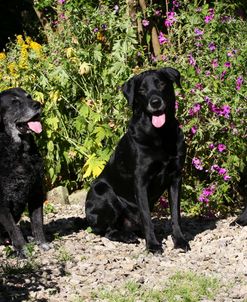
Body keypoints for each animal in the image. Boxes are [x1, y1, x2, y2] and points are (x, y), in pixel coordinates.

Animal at [0, 88, 48, 258]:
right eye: (15, 102)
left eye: (30, 97)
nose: (37, 104)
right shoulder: (2, 203)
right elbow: (14, 229)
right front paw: (23, 249)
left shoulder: (36, 191)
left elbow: (38, 221)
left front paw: (42, 243)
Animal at [85, 68, 189, 252]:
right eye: (141, 90)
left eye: (161, 84)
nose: (155, 102)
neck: (160, 135)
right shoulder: (141, 181)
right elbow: (146, 216)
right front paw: (153, 245)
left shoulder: (176, 178)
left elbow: (176, 214)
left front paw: (179, 240)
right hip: (103, 191)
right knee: (107, 231)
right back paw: (127, 236)